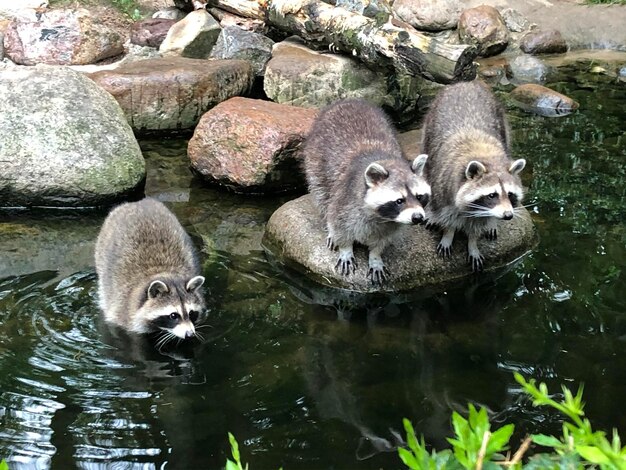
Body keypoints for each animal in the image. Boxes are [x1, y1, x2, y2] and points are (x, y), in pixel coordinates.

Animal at [94, 196, 205, 344]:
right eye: (173, 315)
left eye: (191, 313)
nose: (190, 334)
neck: (164, 272)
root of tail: (136, 202)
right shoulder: (122, 313)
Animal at [302, 97, 428, 284]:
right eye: (400, 200)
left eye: (419, 197)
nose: (418, 217)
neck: (382, 217)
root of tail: (349, 101)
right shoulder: (345, 202)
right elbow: (339, 226)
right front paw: (345, 249)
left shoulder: (391, 225)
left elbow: (382, 241)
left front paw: (375, 256)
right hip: (315, 160)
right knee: (322, 195)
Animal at [420, 81, 528, 272]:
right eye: (492, 195)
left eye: (510, 194)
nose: (508, 215)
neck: (485, 155)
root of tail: (465, 83)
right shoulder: (444, 184)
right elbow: (447, 215)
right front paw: (448, 234)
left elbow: (477, 226)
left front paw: (473, 243)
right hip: (428, 127)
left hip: (502, 121)